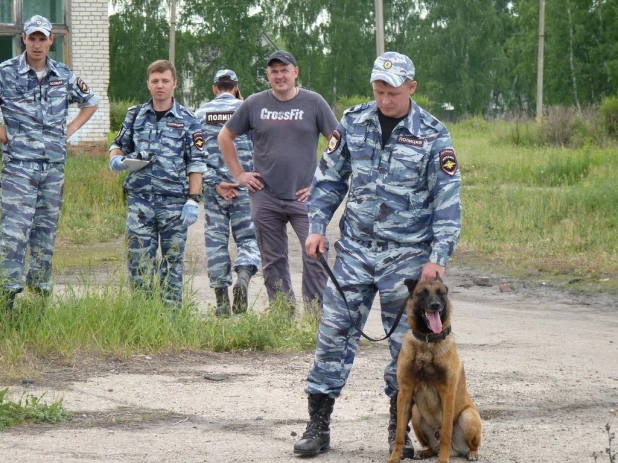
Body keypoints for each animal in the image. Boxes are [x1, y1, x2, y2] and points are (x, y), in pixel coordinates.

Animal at [384, 278, 482, 462]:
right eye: (422, 293)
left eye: (440, 293)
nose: (435, 305)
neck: (427, 343)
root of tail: (456, 450)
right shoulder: (405, 394)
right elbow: (400, 433)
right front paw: (394, 457)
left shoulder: (447, 394)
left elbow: (446, 434)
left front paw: (443, 460)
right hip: (416, 413)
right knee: (432, 447)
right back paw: (424, 452)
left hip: (468, 415)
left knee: (467, 443)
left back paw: (471, 453)